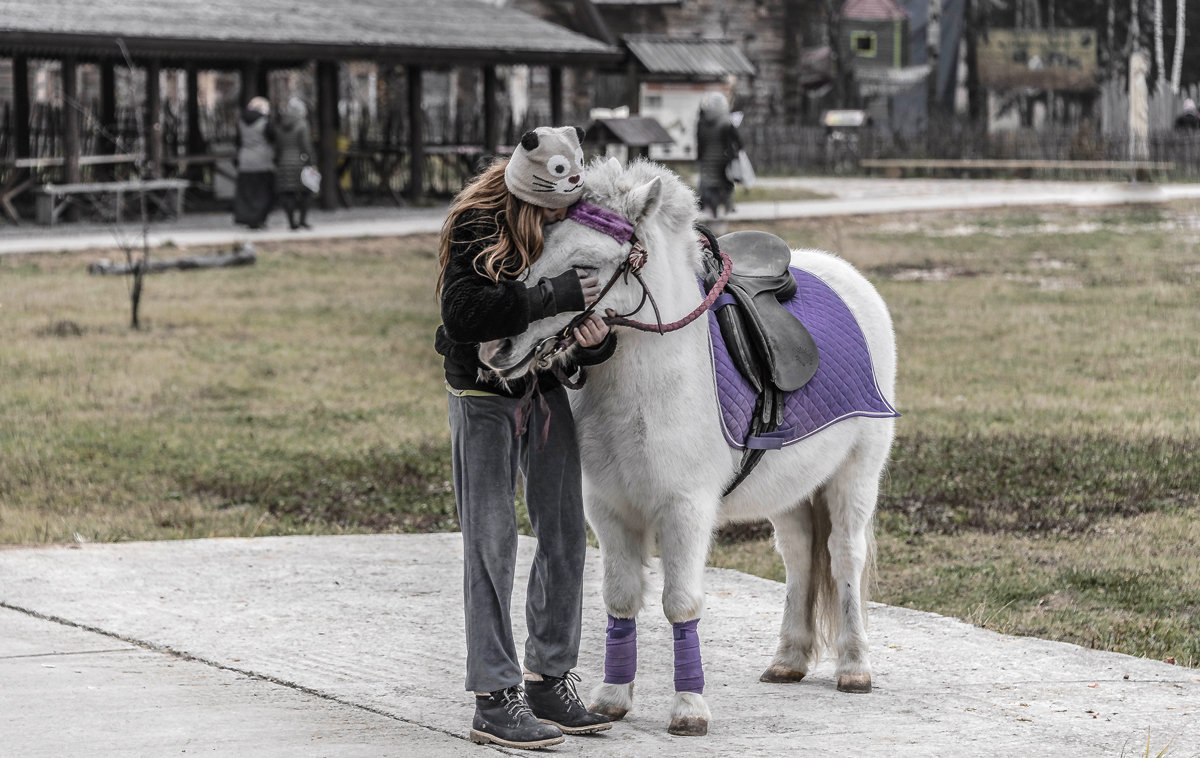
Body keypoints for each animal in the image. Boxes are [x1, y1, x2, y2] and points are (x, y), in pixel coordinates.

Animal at [482, 158, 897, 734]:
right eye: (539, 246)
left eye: (584, 265)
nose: (498, 345)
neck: (650, 382)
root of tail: (850, 280)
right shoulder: (609, 510)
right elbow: (621, 598)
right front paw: (612, 698)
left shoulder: (685, 510)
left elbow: (680, 603)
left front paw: (688, 708)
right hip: (792, 491)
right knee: (799, 557)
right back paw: (788, 660)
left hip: (854, 477)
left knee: (843, 557)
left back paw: (855, 666)